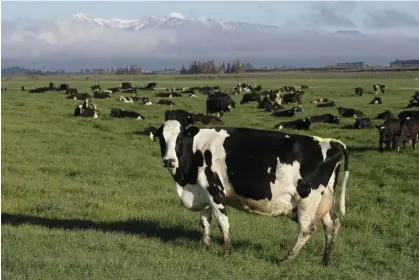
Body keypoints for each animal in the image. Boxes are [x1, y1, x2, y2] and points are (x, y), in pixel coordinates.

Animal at [148, 120, 352, 264]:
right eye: (161, 139)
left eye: (180, 139)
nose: (169, 161)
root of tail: (333, 143)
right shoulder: (202, 191)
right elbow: (205, 220)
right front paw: (206, 246)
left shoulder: (215, 190)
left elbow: (223, 222)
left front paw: (226, 252)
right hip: (324, 200)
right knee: (332, 225)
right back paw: (326, 260)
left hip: (307, 199)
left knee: (307, 228)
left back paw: (287, 259)